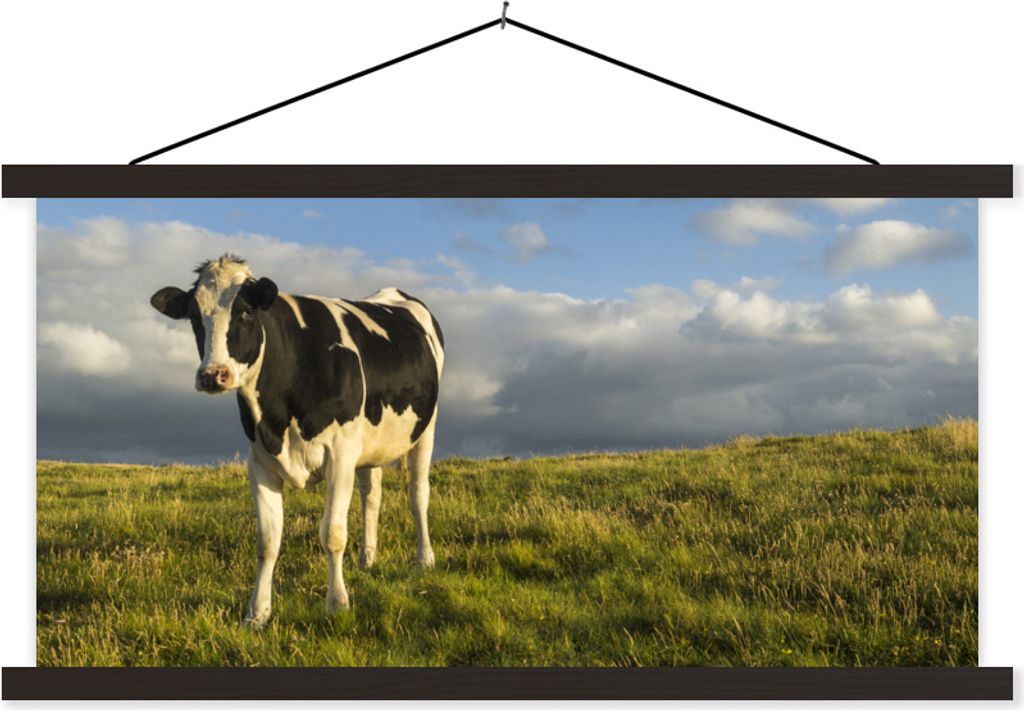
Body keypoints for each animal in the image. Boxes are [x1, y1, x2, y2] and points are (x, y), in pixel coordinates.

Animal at [150, 254, 444, 628]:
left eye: (246, 313)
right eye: (193, 316)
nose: (213, 375)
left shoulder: (340, 456)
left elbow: (332, 533)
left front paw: (337, 604)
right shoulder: (260, 462)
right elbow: (267, 540)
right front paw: (257, 613)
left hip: (426, 428)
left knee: (418, 495)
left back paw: (425, 560)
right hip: (370, 444)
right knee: (372, 496)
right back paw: (367, 559)